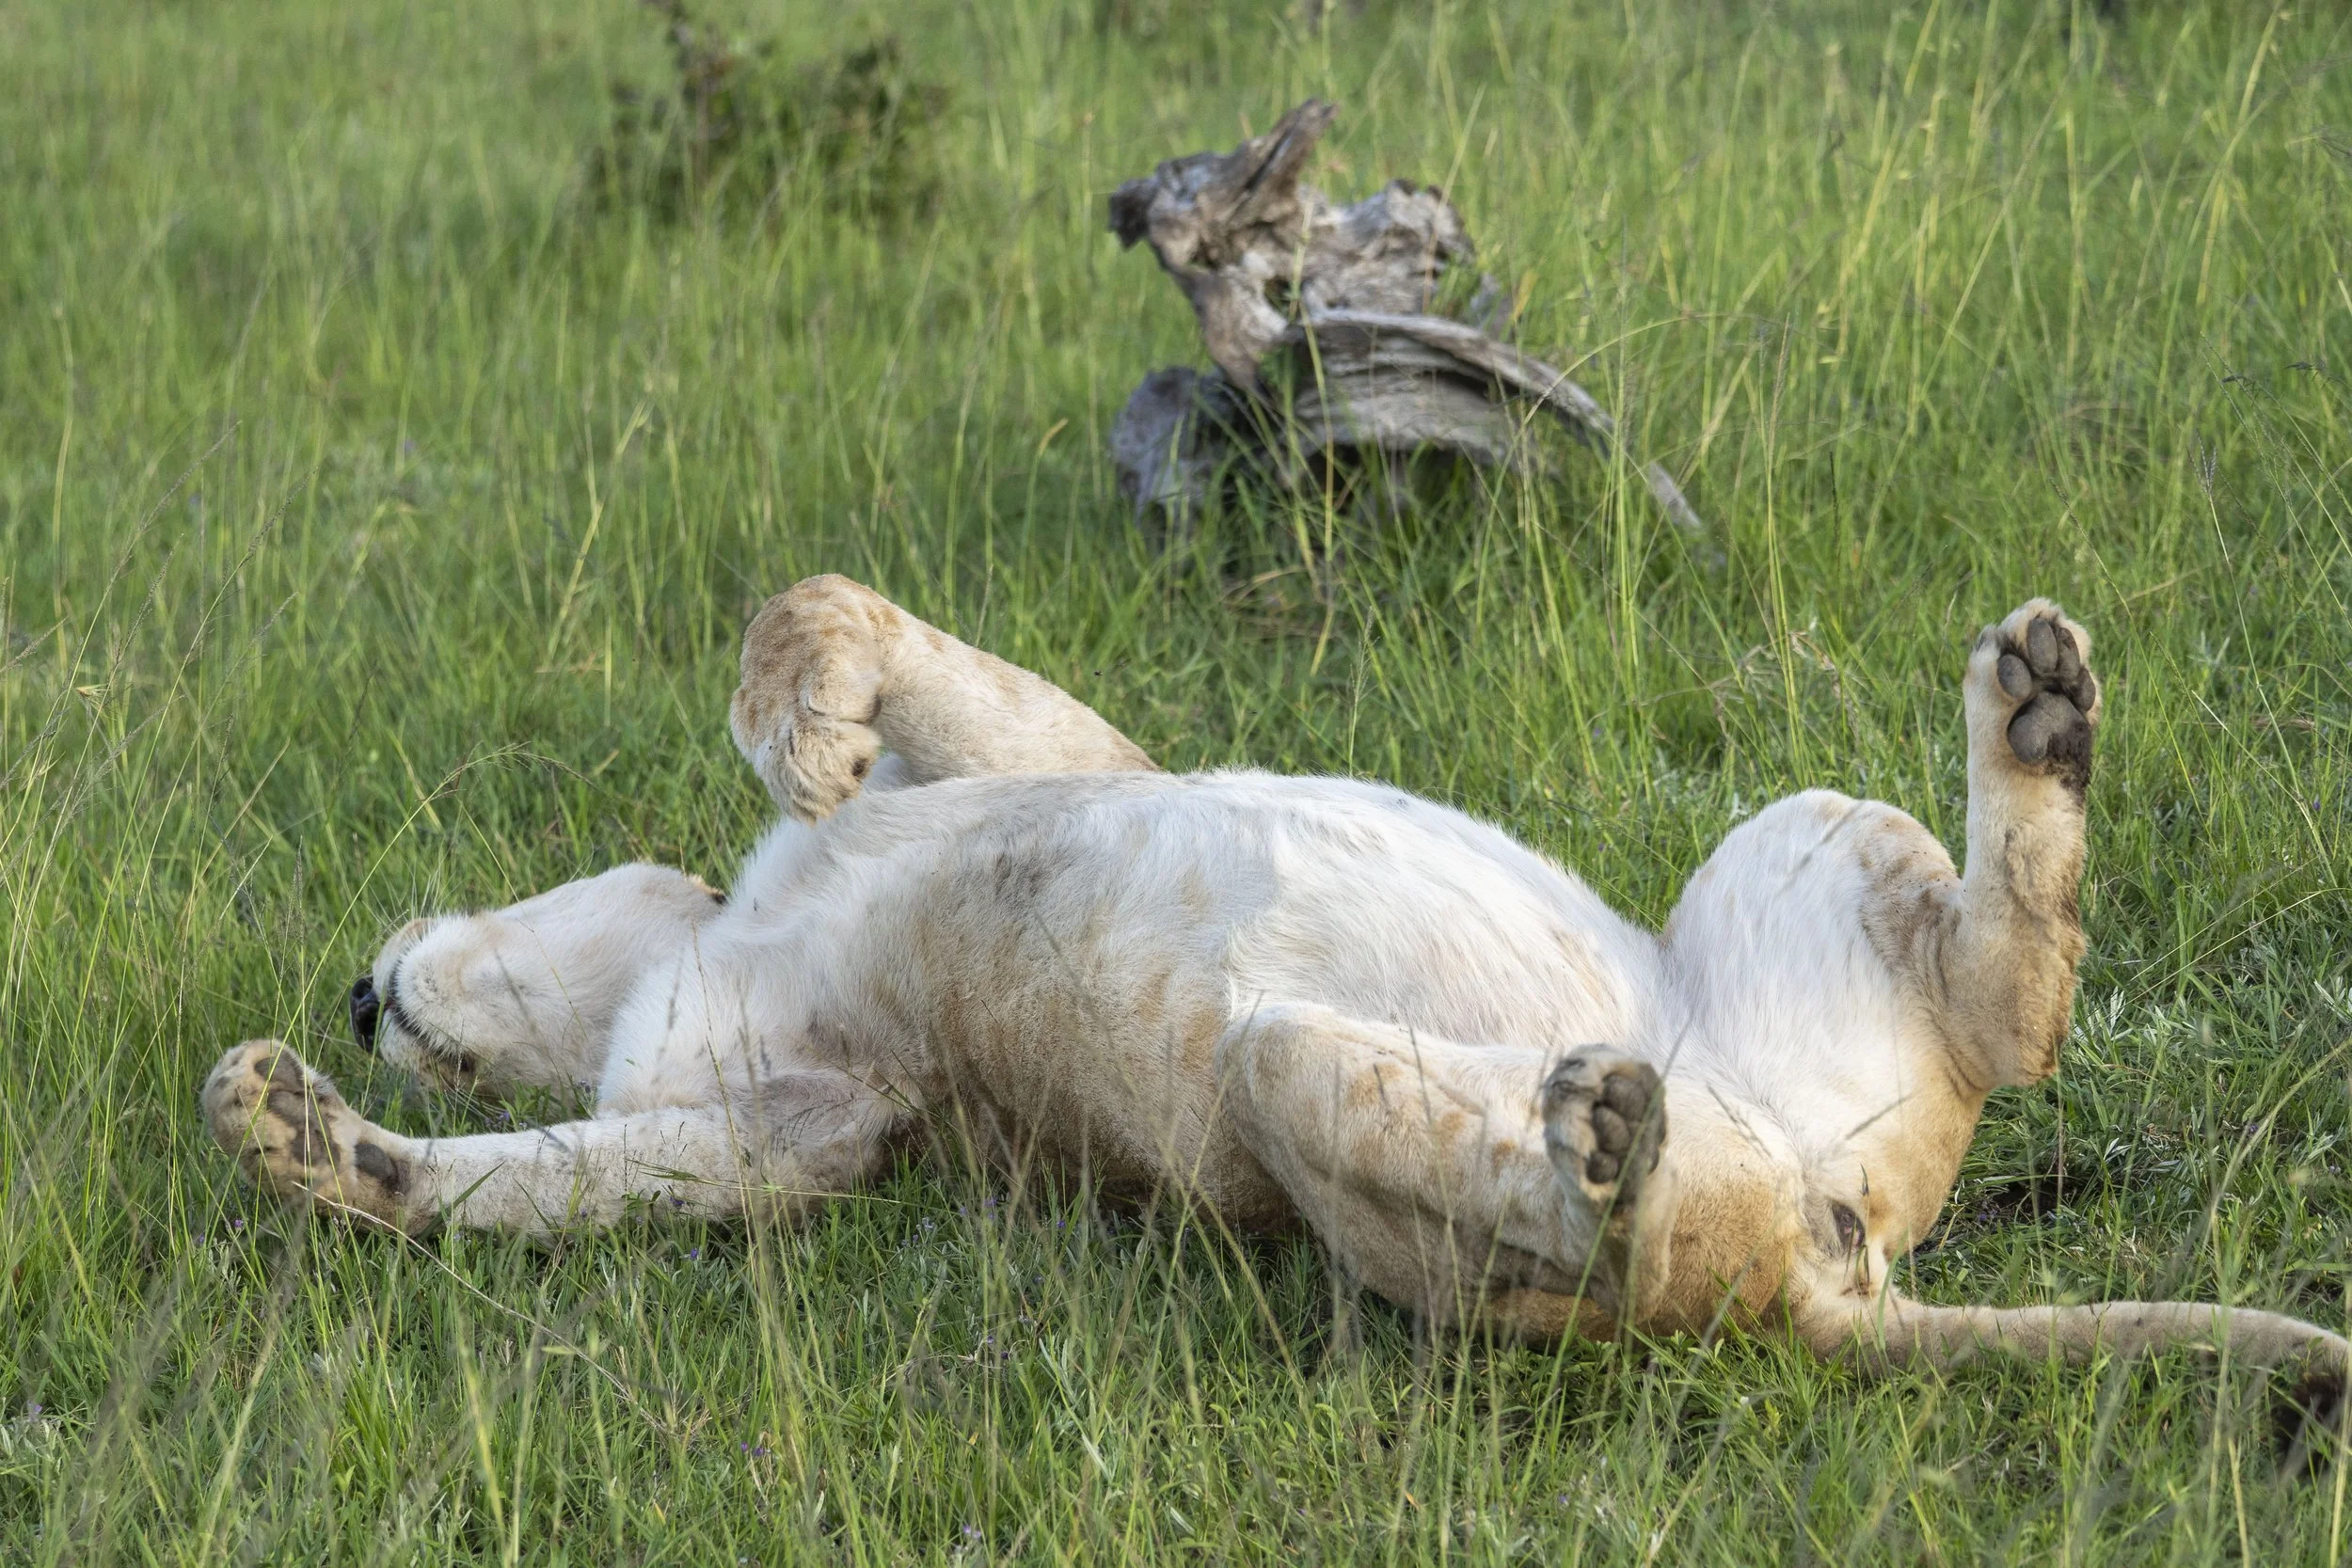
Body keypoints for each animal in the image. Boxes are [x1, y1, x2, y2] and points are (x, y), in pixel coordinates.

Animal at [202, 575, 2347, 1401]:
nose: (361, 997)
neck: (697, 944)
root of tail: (1845, 1260)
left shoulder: (1060, 764)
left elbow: (832, 613)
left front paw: (798, 723)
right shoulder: (832, 1123)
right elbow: (588, 1176)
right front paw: (304, 1138)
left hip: (1797, 827)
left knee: (2008, 1014)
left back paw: (2038, 712)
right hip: (1283, 1083)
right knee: (1652, 1235)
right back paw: (1603, 1137)